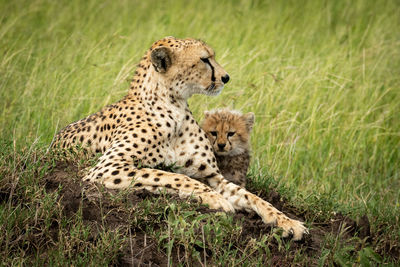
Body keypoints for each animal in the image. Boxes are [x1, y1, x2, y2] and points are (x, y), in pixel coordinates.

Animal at [52, 37, 306, 241]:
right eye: (204, 59)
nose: (226, 77)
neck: (174, 106)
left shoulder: (213, 176)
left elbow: (253, 197)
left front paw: (288, 222)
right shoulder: (107, 167)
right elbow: (169, 176)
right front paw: (213, 198)